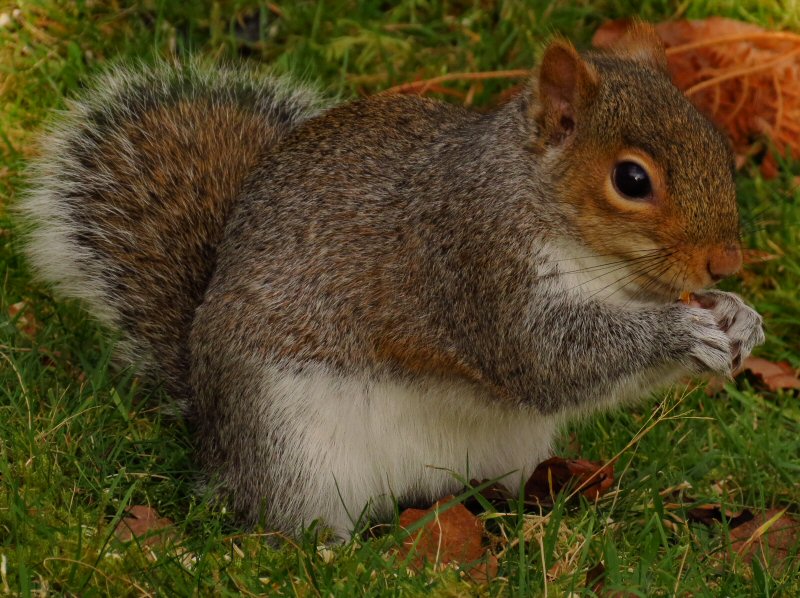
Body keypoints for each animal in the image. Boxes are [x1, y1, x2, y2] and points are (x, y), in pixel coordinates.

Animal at [18, 22, 764, 540]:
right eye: (632, 179)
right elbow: (547, 362)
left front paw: (737, 316)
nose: (726, 262)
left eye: (716, 140)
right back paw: (333, 551)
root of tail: (213, 435)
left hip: (505, 451)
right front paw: (680, 331)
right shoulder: (472, 264)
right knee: (294, 519)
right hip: (291, 446)